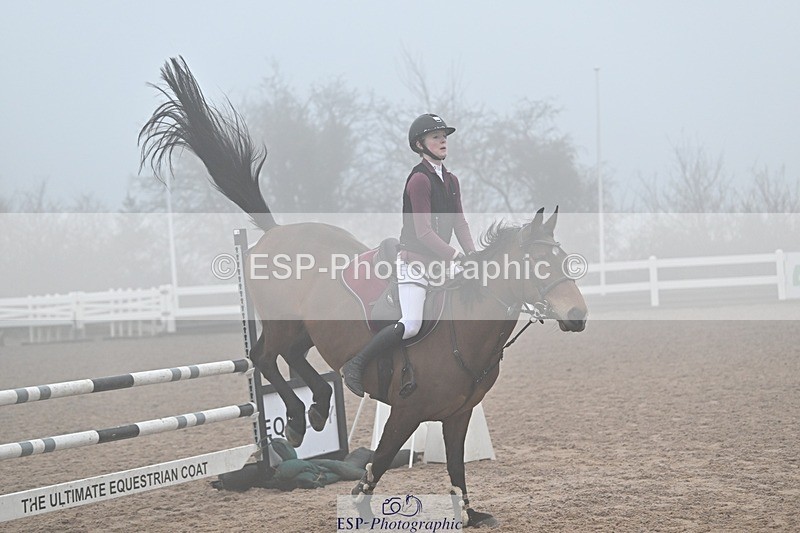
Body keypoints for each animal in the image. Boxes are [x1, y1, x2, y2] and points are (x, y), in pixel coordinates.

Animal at [139, 57, 587, 527]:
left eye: (564, 259)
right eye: (539, 264)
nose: (578, 316)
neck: (465, 331)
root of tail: (276, 233)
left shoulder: (458, 413)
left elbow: (456, 465)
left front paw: (467, 512)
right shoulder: (407, 411)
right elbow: (381, 459)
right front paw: (361, 505)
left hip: (308, 328)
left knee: (293, 358)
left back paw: (318, 407)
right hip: (282, 322)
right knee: (264, 357)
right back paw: (297, 419)